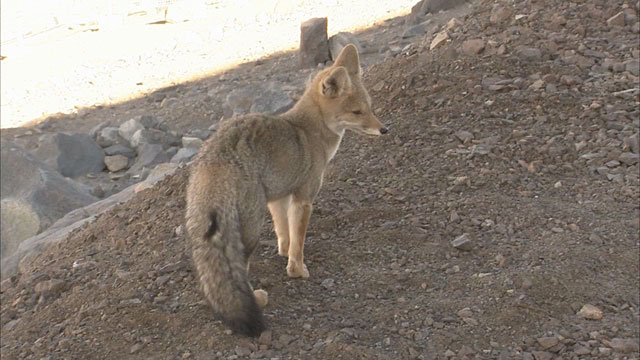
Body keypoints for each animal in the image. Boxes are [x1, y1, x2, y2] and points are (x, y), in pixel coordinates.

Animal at [182, 44, 388, 338]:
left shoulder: (278, 197)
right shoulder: (304, 198)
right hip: (251, 229)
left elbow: (285, 232)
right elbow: (299, 240)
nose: (384, 129)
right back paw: (256, 297)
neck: (309, 131)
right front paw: (297, 270)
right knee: (240, 269)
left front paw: (284, 251)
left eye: (369, 107)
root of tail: (216, 159)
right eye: (357, 112)